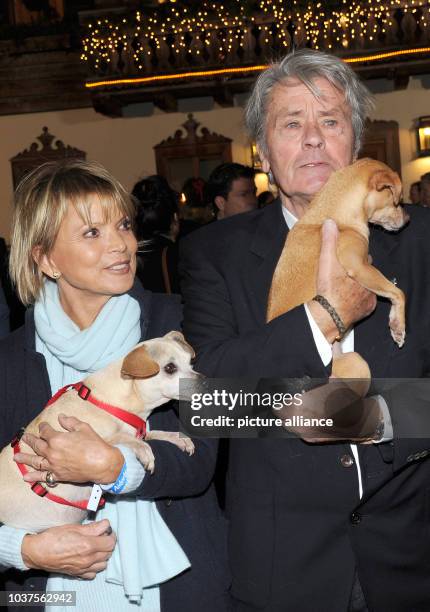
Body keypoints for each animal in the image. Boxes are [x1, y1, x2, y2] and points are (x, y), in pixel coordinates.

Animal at [0, 330, 198, 532]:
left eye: (191, 362)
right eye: (170, 368)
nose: (204, 382)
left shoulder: (139, 431)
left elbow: (156, 433)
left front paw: (180, 438)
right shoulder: (85, 437)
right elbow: (125, 438)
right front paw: (144, 450)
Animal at [268, 158, 408, 388]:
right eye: (397, 201)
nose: (408, 218)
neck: (330, 214)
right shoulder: (359, 266)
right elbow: (397, 292)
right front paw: (398, 325)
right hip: (356, 365)